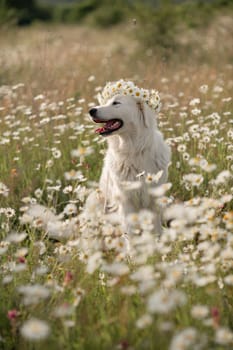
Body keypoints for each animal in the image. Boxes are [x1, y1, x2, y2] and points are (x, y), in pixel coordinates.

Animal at [88, 81, 170, 234]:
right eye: (106, 102)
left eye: (116, 103)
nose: (91, 110)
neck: (134, 149)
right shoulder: (126, 201)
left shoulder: (153, 199)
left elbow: (156, 229)